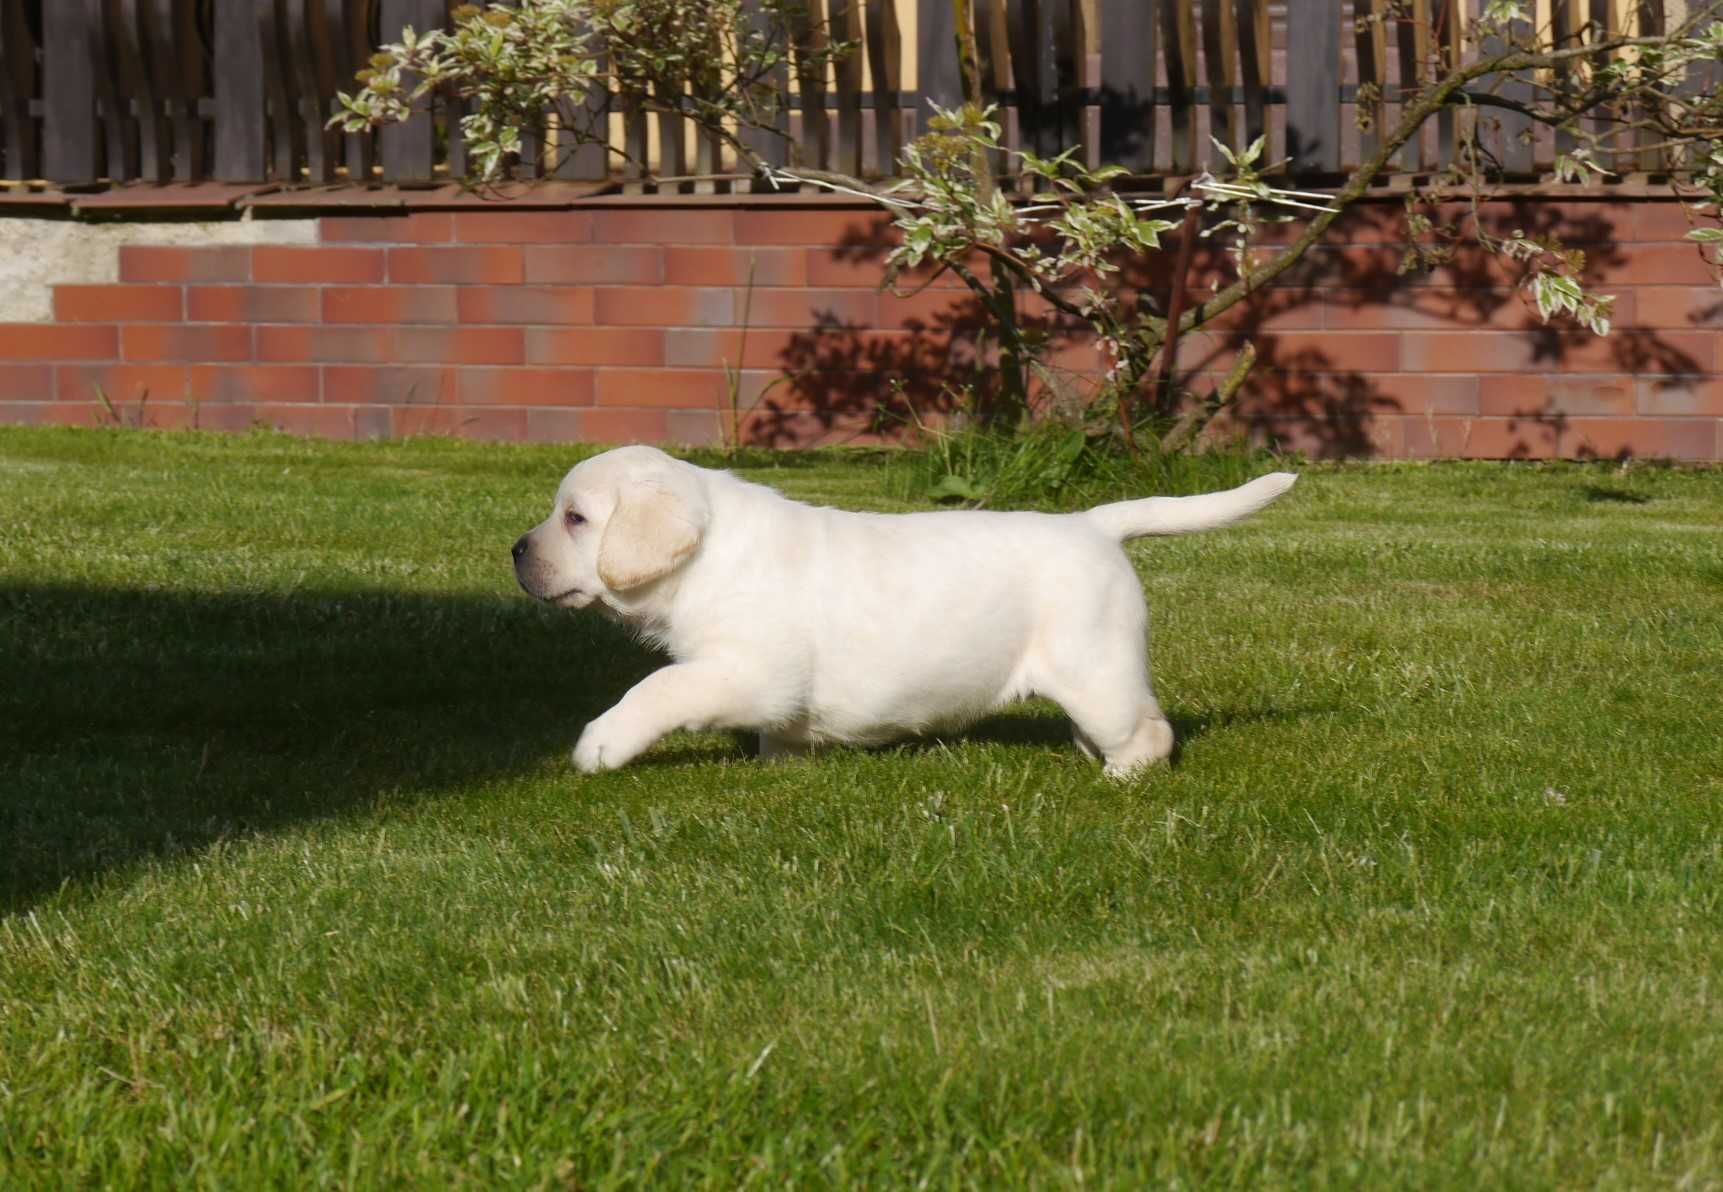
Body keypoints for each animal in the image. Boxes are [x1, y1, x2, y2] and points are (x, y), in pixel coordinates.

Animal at [510, 444, 1295, 771]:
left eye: (575, 519)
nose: (516, 551)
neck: (708, 556)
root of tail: (1093, 525)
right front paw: (783, 763)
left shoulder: (746, 670)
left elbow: (659, 687)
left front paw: (601, 743)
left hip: (1093, 664)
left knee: (1150, 732)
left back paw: (1122, 774)